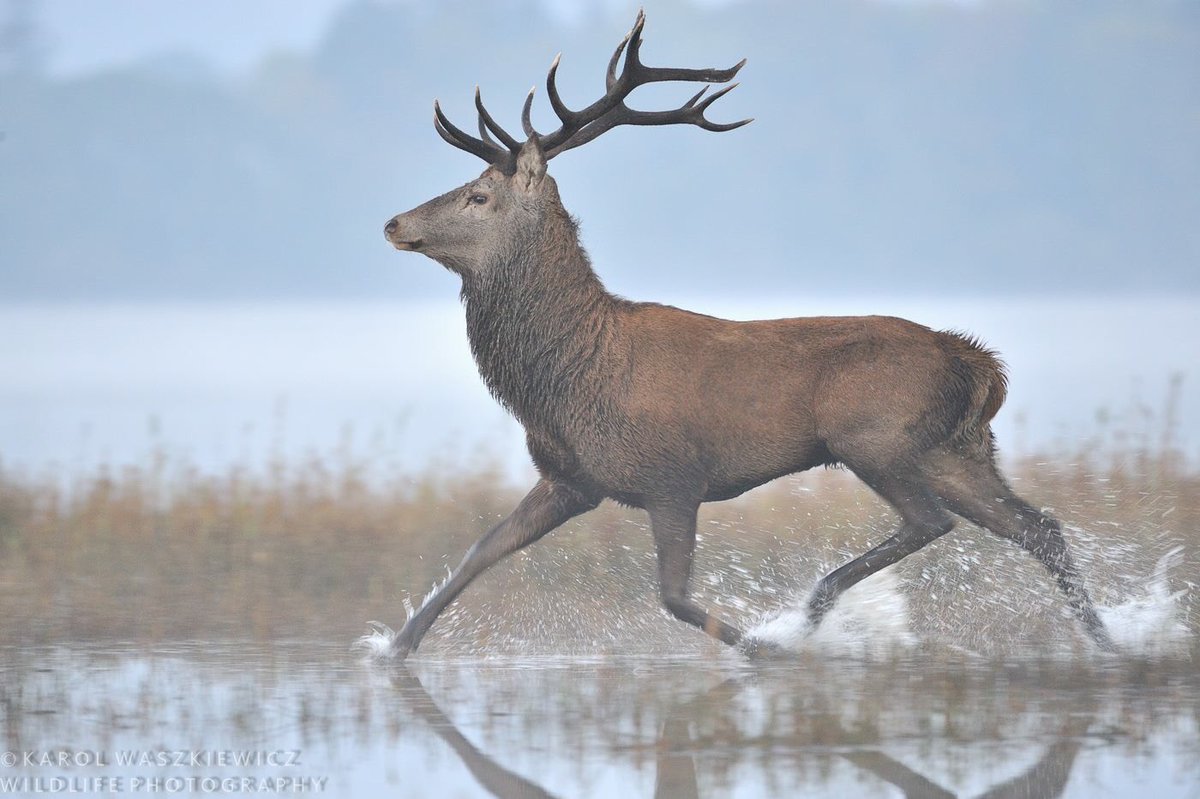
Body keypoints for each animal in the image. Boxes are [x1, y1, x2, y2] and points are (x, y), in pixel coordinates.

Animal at [374, 12, 1113, 657]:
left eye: (480, 195)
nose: (393, 222)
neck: (568, 377)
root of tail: (981, 365)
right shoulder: (570, 480)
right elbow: (479, 552)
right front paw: (393, 646)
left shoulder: (673, 475)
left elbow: (673, 597)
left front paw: (768, 647)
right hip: (956, 448)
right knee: (1039, 527)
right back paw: (1108, 642)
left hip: (873, 436)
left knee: (934, 521)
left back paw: (812, 609)